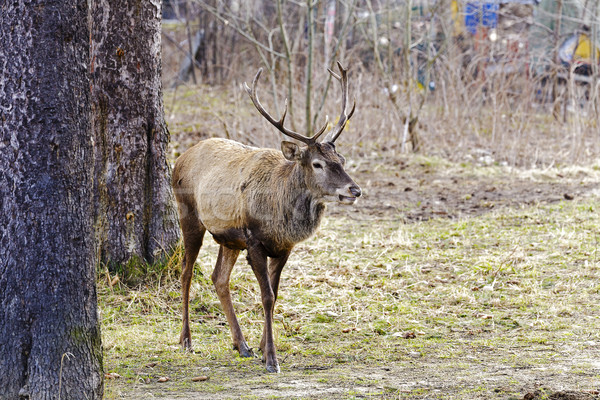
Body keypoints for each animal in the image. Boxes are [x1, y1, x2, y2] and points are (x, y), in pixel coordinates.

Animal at [173, 61, 360, 374]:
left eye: (342, 160)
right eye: (317, 164)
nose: (354, 189)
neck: (279, 216)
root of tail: (179, 158)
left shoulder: (284, 247)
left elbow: (275, 292)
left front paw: (261, 348)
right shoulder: (255, 240)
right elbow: (267, 296)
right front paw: (271, 358)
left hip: (228, 238)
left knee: (218, 278)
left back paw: (241, 345)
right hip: (189, 217)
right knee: (186, 271)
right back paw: (186, 340)